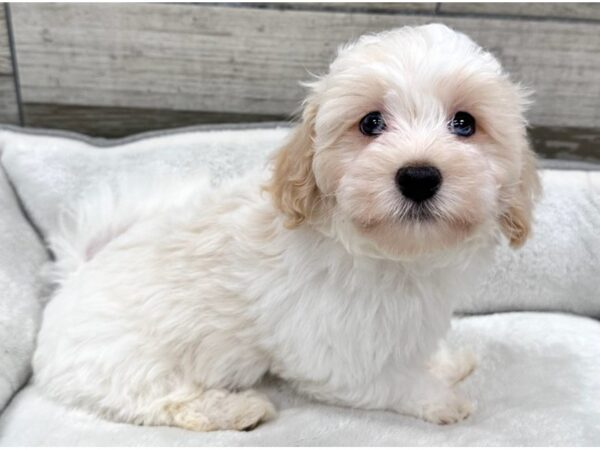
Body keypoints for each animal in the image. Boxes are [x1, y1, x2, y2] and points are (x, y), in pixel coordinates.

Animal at [31, 23, 540, 428]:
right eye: (371, 123)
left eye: (464, 123)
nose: (418, 176)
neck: (393, 256)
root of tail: (72, 278)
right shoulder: (334, 355)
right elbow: (391, 381)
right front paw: (441, 399)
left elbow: (414, 353)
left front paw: (446, 362)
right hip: (127, 362)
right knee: (159, 399)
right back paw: (236, 409)